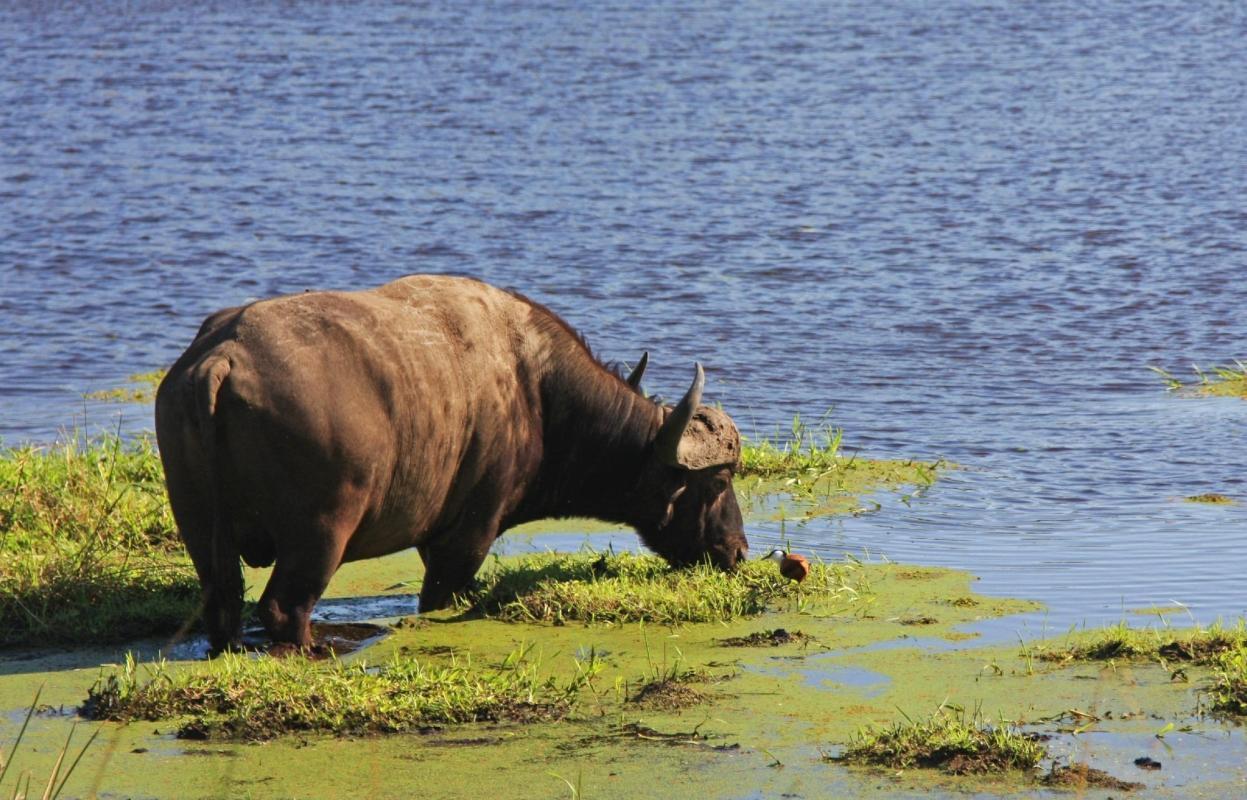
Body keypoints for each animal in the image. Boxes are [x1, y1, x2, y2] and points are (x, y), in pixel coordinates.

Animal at [150, 274, 743, 647]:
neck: (538, 394)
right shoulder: (466, 537)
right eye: (717, 483)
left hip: (200, 528)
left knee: (223, 603)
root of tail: (222, 359)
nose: (737, 550)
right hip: (318, 535)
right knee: (282, 609)